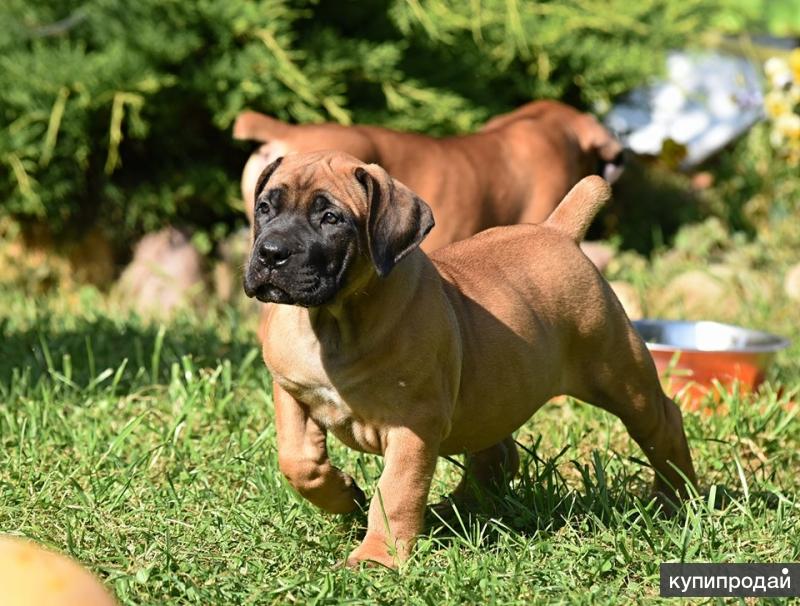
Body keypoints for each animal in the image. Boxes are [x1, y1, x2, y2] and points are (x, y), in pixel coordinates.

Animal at [245, 151, 700, 568]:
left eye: (331, 218)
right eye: (265, 208)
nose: (270, 253)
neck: (334, 321)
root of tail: (557, 232)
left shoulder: (413, 425)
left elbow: (395, 493)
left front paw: (376, 560)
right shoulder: (291, 391)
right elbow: (297, 461)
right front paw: (343, 494)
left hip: (618, 372)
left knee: (662, 424)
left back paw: (677, 499)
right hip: (491, 393)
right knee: (497, 453)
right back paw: (455, 510)